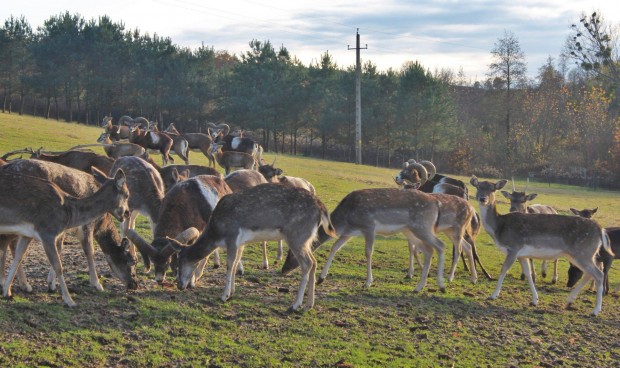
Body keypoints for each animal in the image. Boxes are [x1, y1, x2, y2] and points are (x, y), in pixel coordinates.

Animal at [0, 160, 138, 294]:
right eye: (132, 260)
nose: (134, 284)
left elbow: (59, 249)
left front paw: (51, 284)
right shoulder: (85, 225)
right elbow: (89, 251)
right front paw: (97, 284)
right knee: (8, 244)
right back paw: (18, 285)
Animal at [162, 185, 334, 312]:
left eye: (180, 261)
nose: (179, 285)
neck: (216, 232)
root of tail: (322, 209)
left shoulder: (232, 236)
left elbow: (230, 264)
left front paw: (223, 296)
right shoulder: (241, 243)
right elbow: (236, 263)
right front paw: (231, 293)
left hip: (297, 236)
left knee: (307, 263)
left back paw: (295, 305)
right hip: (306, 239)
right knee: (314, 261)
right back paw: (309, 304)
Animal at [470, 177, 612, 314]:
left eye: (492, 188)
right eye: (478, 187)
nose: (483, 198)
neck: (499, 228)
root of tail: (600, 230)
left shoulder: (513, 247)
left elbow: (504, 269)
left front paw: (493, 295)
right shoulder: (522, 254)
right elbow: (528, 273)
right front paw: (534, 300)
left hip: (583, 253)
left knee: (598, 274)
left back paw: (595, 310)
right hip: (581, 254)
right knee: (590, 273)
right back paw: (569, 300)